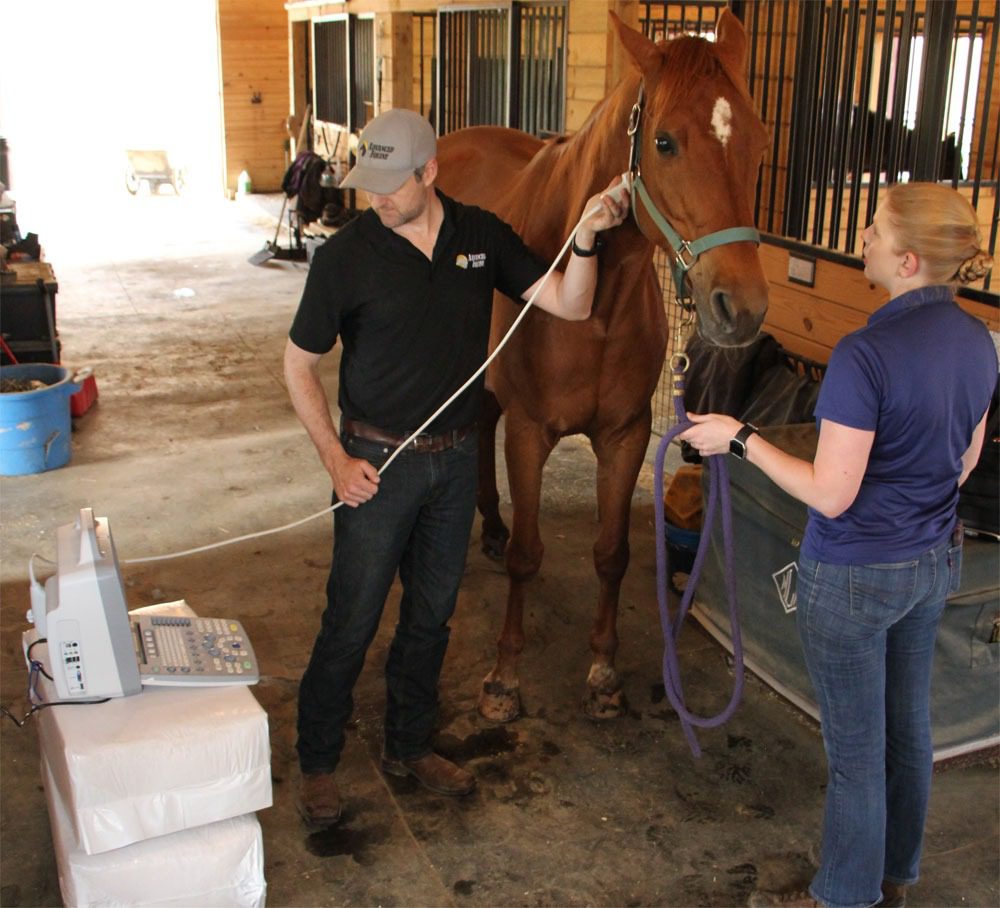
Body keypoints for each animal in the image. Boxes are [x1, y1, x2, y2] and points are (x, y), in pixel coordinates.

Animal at [434, 10, 770, 722]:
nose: (742, 308)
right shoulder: (530, 433)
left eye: (757, 141)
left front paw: (603, 672)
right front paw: (504, 679)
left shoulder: (625, 436)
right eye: (665, 142)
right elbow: (529, 557)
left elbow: (612, 554)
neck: (592, 300)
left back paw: (491, 527)